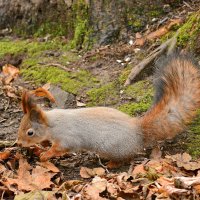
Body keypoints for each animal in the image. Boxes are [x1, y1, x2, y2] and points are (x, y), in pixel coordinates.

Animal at [16, 53, 200, 166]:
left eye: (30, 132)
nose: (18, 143)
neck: (52, 124)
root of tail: (138, 130)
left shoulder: (67, 137)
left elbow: (61, 148)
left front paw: (46, 154)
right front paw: (43, 146)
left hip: (112, 148)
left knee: (127, 157)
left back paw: (112, 163)